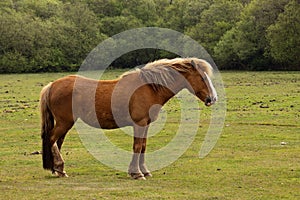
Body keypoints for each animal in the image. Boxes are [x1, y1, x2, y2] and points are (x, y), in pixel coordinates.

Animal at [40, 57, 218, 180]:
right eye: (202, 78)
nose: (212, 98)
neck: (149, 87)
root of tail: (52, 85)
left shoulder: (145, 125)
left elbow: (143, 147)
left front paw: (144, 170)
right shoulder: (139, 124)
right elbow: (137, 147)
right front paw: (137, 173)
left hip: (65, 124)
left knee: (57, 142)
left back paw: (57, 170)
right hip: (64, 123)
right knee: (52, 139)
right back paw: (59, 168)